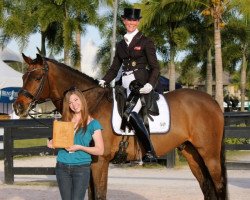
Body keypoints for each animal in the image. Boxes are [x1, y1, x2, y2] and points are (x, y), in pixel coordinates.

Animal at [14, 53, 229, 200]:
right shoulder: (91, 162)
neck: (89, 103)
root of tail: (212, 102)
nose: (18, 106)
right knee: (207, 188)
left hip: (209, 154)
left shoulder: (100, 161)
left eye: (36, 78)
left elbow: (100, 195)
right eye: (23, 77)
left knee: (218, 187)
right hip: (192, 153)